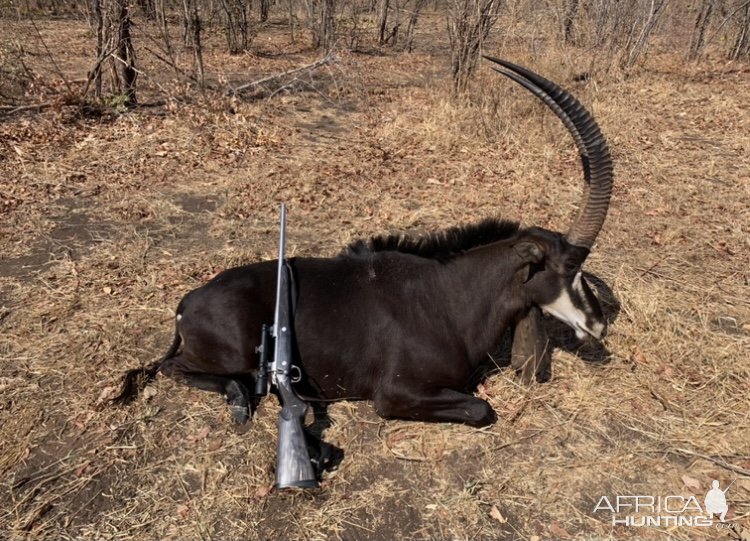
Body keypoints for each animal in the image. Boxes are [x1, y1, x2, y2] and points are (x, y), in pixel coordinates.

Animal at [114, 58, 612, 426]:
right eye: (568, 268)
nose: (599, 325)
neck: (449, 298)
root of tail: (187, 302)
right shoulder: (394, 394)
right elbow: (480, 408)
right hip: (232, 353)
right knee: (174, 369)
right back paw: (239, 397)